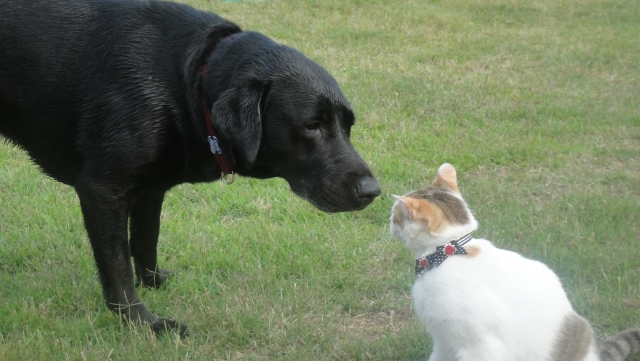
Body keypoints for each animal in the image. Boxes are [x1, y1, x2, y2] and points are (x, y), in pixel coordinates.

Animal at [0, 0, 380, 334]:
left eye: (348, 126)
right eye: (312, 125)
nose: (373, 191)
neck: (190, 83)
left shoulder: (150, 189)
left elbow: (146, 241)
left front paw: (154, 283)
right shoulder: (102, 191)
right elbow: (118, 270)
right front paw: (143, 323)